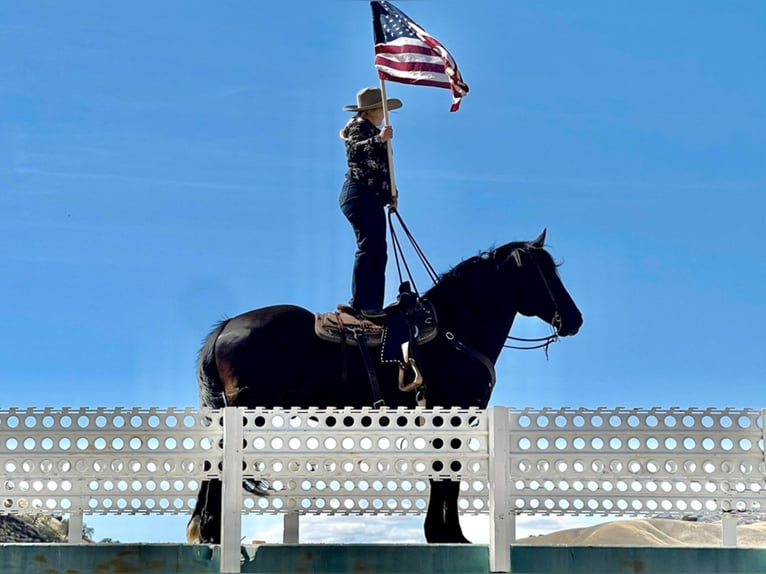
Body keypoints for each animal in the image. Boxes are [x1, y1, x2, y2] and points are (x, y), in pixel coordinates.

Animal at [186, 230, 584, 544]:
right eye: (543, 273)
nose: (574, 319)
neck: (454, 331)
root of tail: (227, 326)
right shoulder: (450, 416)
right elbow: (446, 474)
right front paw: (448, 535)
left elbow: (442, 473)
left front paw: (441, 533)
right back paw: (209, 531)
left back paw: (207, 531)